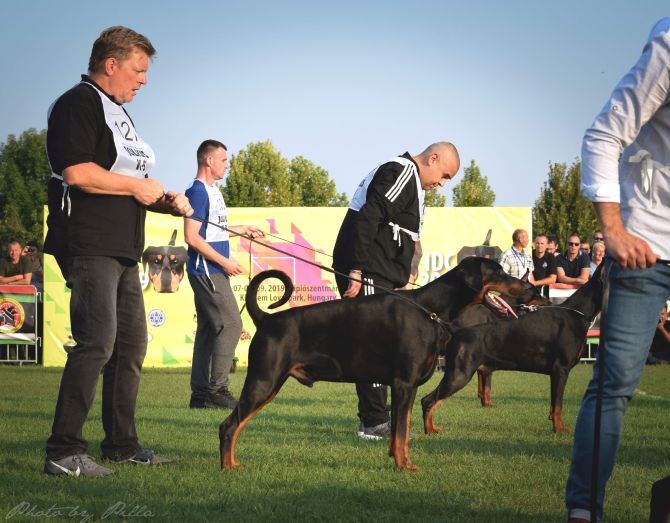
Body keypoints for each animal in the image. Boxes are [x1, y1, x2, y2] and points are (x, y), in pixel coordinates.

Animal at [219, 256, 542, 471]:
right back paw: (228, 467)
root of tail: (267, 319)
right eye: (499, 272)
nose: (531, 289)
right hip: (264, 381)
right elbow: (400, 433)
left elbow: (403, 429)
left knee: (236, 425)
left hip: (270, 385)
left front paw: (401, 460)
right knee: (228, 426)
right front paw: (404, 467)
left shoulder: (407, 388)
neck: (429, 311)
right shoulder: (403, 385)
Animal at [422, 264, 603, 434]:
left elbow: (553, 406)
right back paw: (429, 430)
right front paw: (559, 429)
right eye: (536, 294)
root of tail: (455, 330)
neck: (577, 313)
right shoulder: (561, 369)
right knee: (428, 400)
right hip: (459, 374)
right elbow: (558, 405)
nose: (550, 303)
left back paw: (432, 428)